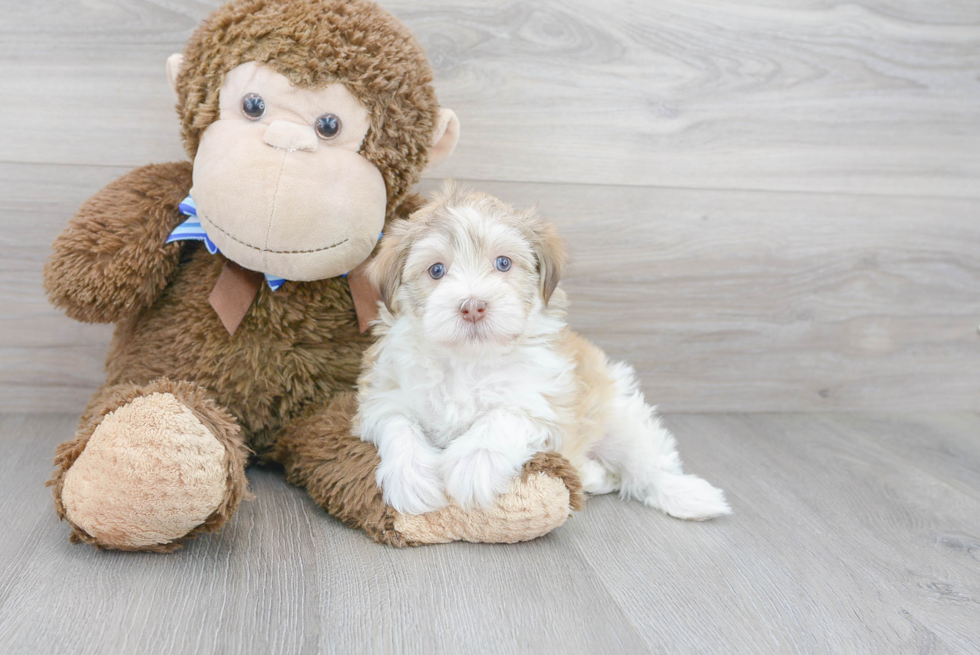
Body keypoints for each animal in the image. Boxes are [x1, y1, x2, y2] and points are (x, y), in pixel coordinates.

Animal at [352, 182, 728, 520]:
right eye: (436, 270)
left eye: (503, 264)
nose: (473, 306)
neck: (468, 361)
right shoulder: (383, 397)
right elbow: (398, 424)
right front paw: (410, 477)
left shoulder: (545, 399)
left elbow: (505, 417)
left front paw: (473, 463)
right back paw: (594, 475)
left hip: (621, 416)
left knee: (645, 463)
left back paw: (688, 495)